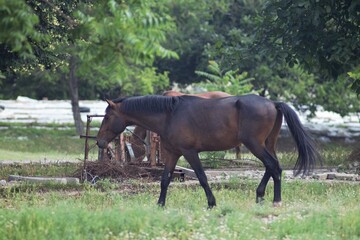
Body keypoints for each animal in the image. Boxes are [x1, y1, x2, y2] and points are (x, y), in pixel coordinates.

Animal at [96, 94, 320, 207]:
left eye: (107, 116)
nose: (99, 142)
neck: (170, 114)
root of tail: (273, 103)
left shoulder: (189, 152)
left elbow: (202, 177)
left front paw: (212, 203)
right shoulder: (173, 153)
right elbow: (165, 179)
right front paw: (160, 204)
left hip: (255, 144)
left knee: (273, 166)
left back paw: (276, 200)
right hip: (266, 144)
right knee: (272, 166)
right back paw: (260, 196)